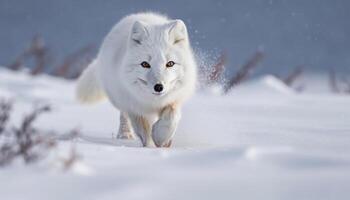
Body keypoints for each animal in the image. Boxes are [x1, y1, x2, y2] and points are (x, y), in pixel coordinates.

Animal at [76, 12, 197, 147]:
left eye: (170, 64)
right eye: (145, 64)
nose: (159, 87)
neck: (153, 103)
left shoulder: (174, 99)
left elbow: (171, 117)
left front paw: (162, 139)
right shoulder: (134, 108)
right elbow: (144, 131)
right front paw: (150, 147)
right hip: (120, 99)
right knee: (124, 116)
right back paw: (125, 135)